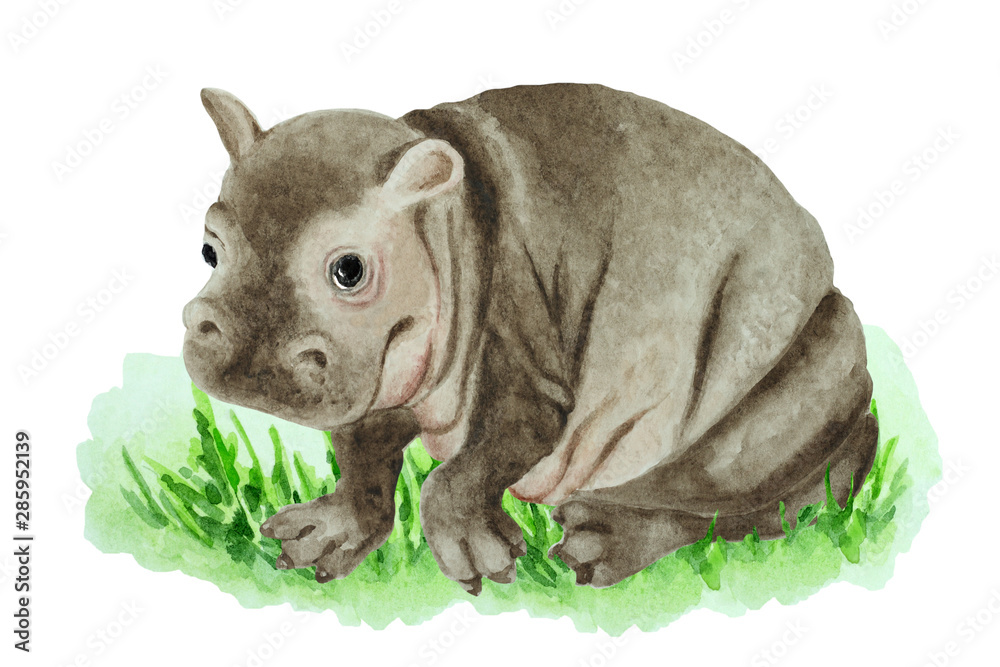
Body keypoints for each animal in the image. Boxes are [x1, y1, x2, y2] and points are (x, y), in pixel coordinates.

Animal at [182, 83, 878, 594]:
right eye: (209, 248)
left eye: (348, 269)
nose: (232, 339)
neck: (443, 219)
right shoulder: (380, 377)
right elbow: (363, 458)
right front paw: (314, 538)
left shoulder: (527, 359)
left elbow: (472, 464)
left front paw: (482, 563)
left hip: (788, 394)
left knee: (734, 507)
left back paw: (596, 544)